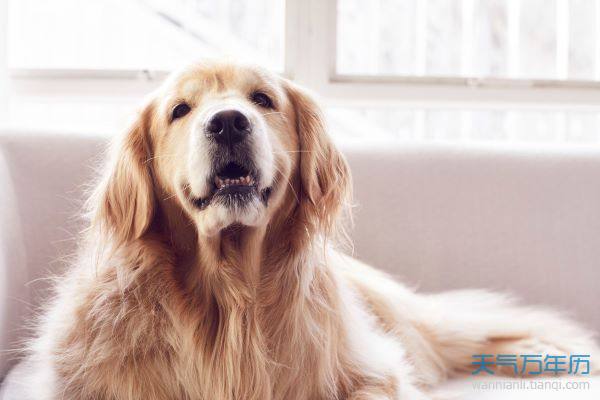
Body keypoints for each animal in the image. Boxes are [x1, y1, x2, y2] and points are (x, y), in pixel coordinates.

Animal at [2, 61, 596, 398]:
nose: (228, 121)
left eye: (263, 100)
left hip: (410, 326)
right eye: (180, 109)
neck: (230, 299)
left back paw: (544, 347)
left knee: (470, 329)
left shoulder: (374, 372)